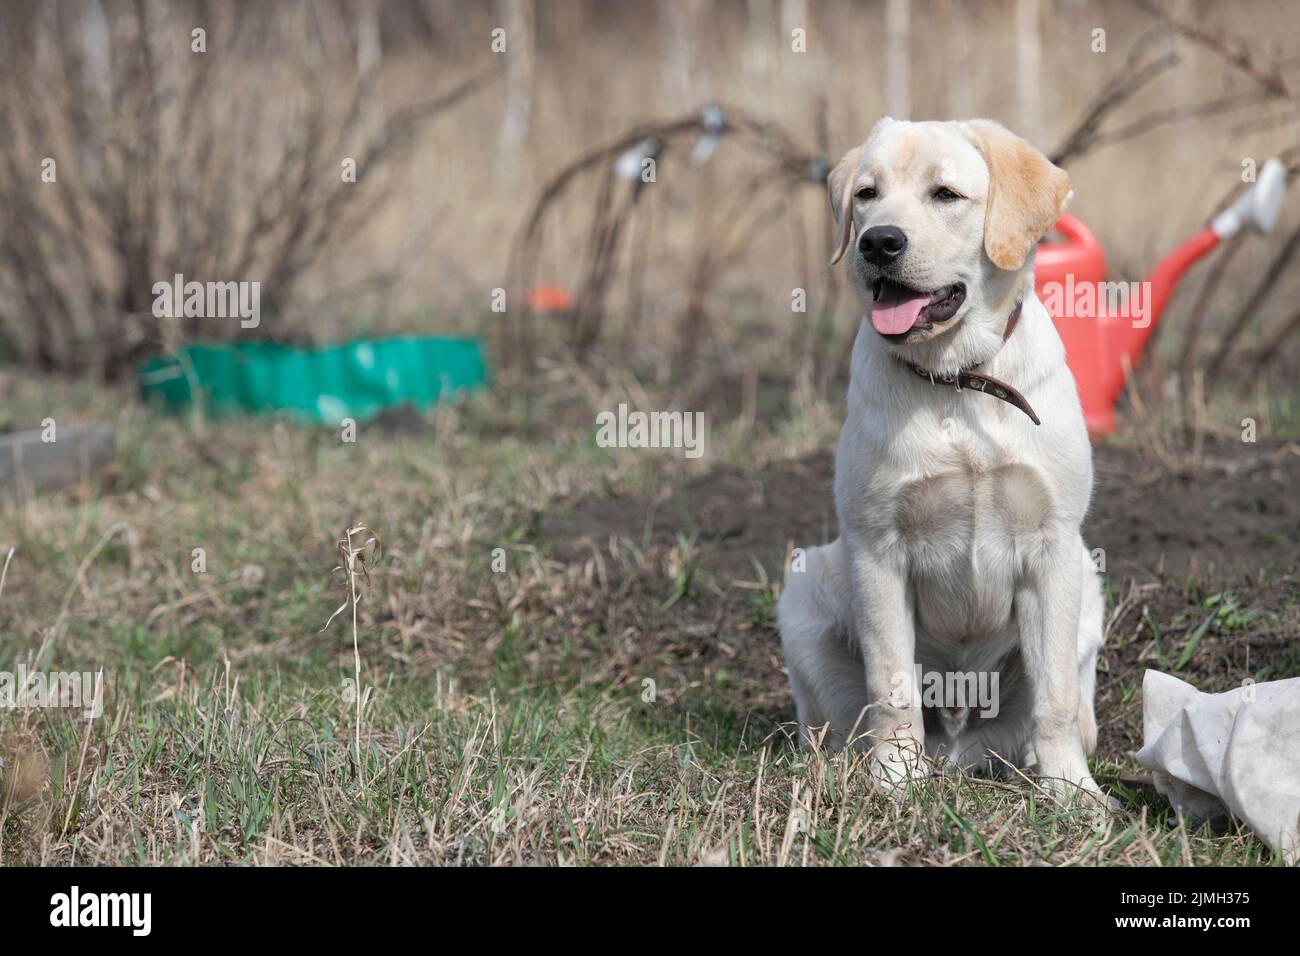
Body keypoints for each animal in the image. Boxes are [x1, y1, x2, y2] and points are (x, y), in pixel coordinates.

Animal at [774, 115, 1102, 796]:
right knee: (845, 725)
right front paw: (895, 784)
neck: (955, 379)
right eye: (867, 194)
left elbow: (1055, 697)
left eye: (945, 194)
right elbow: (892, 685)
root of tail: (956, 748)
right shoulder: (877, 549)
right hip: (805, 588)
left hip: (1089, 581)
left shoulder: (1054, 547)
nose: (878, 242)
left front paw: (1073, 794)